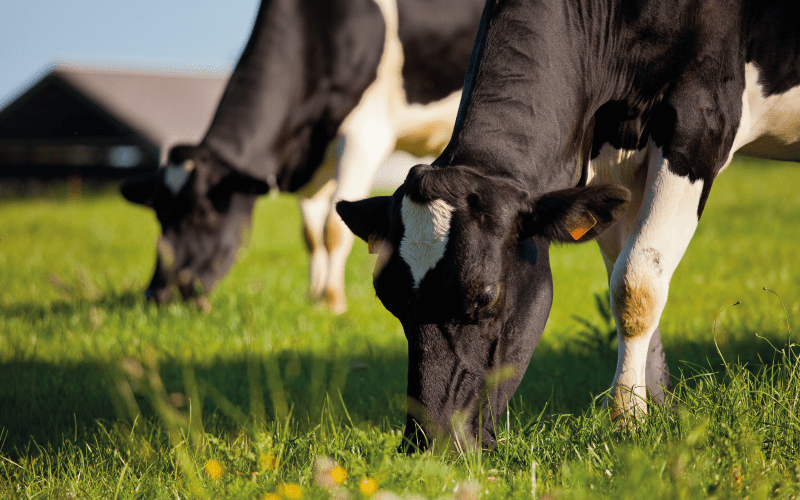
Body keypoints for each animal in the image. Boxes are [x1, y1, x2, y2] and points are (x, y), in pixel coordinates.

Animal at [119, 0, 482, 312]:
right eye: (158, 214)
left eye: (202, 214)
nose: (157, 294)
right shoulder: (311, 158)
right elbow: (310, 234)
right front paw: (313, 296)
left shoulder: (364, 134)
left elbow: (333, 229)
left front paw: (332, 302)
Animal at [338, 0, 800, 452]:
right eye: (388, 299)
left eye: (485, 296)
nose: (425, 445)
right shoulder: (608, 147)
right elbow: (627, 276)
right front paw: (655, 408)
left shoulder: (702, 120)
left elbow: (636, 283)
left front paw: (627, 419)